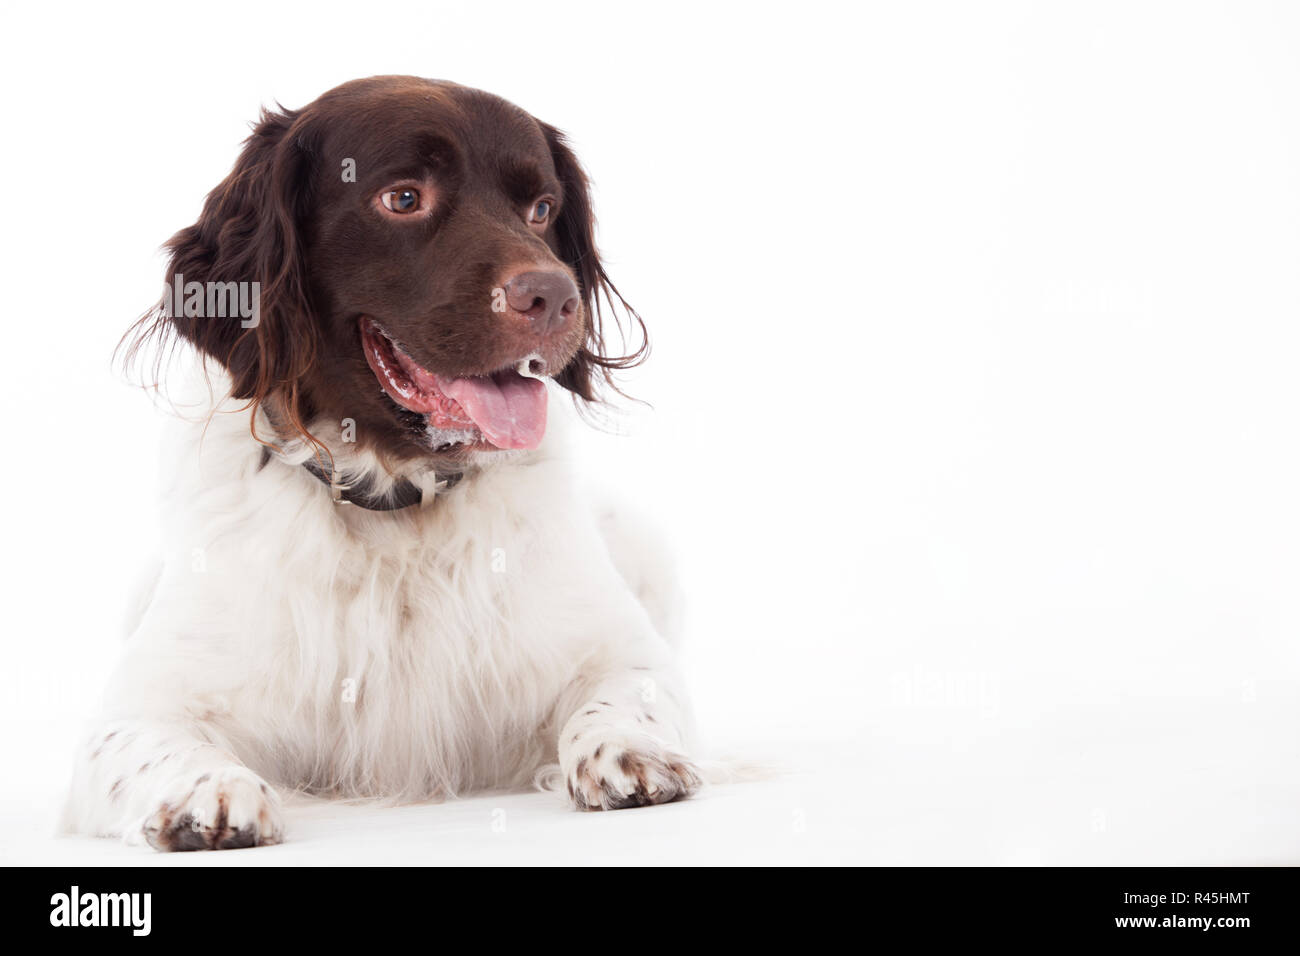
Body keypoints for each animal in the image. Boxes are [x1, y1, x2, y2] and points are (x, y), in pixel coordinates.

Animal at [58, 76, 702, 853]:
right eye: (402, 198)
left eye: (542, 209)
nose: (554, 297)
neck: (394, 508)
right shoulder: (138, 705)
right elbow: (157, 744)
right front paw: (206, 789)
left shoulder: (624, 651)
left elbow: (623, 697)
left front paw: (630, 750)